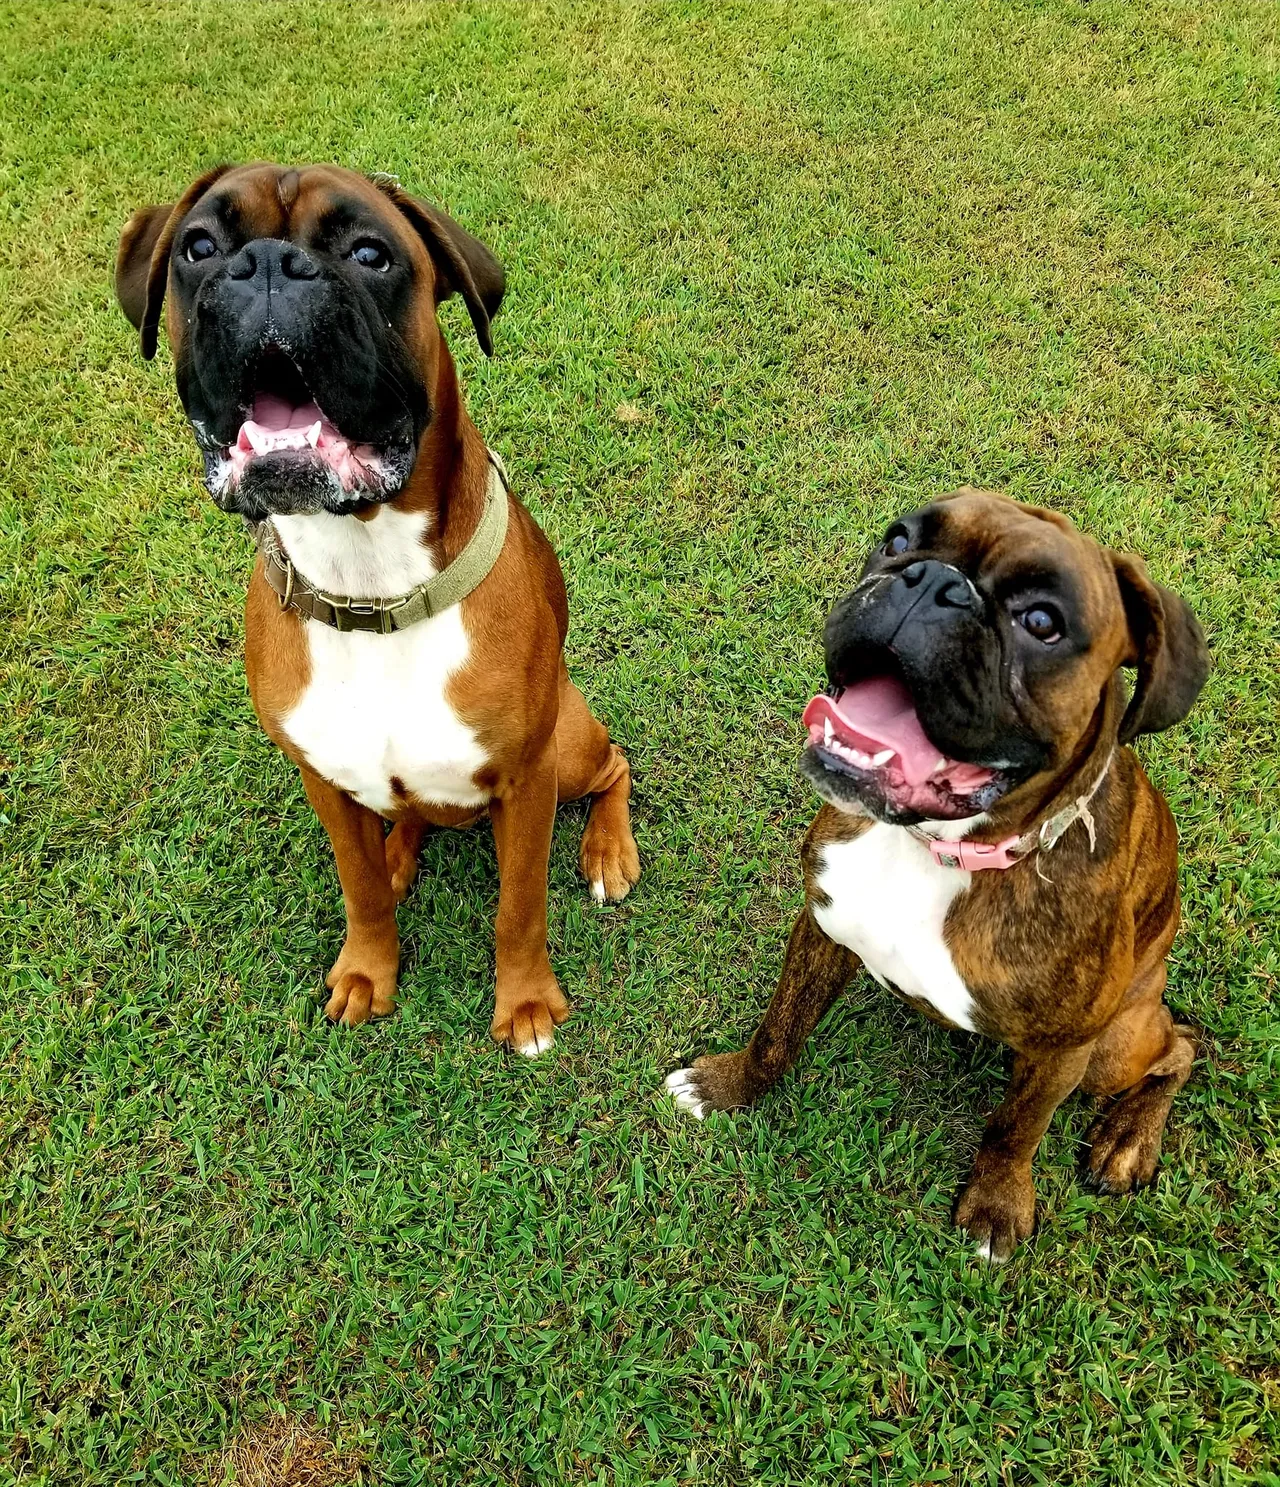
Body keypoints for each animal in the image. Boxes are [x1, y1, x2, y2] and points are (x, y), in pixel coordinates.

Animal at [113, 162, 639, 1046]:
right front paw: (368, 969)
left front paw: (526, 1002)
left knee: (615, 766)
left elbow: (519, 906)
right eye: (199, 246)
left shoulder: (530, 780)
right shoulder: (322, 777)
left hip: (570, 743)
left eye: (370, 253)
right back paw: (399, 853)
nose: (264, 265)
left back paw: (608, 852)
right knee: (405, 819)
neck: (370, 584)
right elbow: (356, 886)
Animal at [668, 493, 1207, 1260]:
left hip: (1113, 1046)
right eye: (899, 540)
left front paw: (996, 1206)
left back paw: (1126, 1141)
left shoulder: (1063, 1050)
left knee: (1182, 1048)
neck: (937, 851)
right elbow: (779, 1028)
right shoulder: (821, 929)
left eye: (1042, 622)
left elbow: (1016, 1128)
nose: (931, 582)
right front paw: (727, 1085)